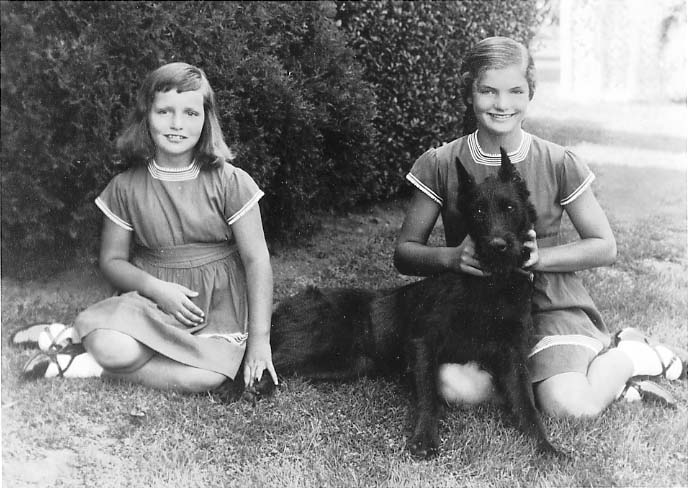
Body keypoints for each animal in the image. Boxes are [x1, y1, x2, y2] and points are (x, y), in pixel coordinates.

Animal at [228, 149, 560, 458]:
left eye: (509, 207)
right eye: (479, 210)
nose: (498, 246)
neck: (490, 286)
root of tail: (284, 306)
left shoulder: (513, 356)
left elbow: (527, 406)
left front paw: (546, 447)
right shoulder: (423, 342)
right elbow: (429, 397)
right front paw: (425, 439)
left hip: (339, 364)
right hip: (318, 343)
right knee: (259, 360)